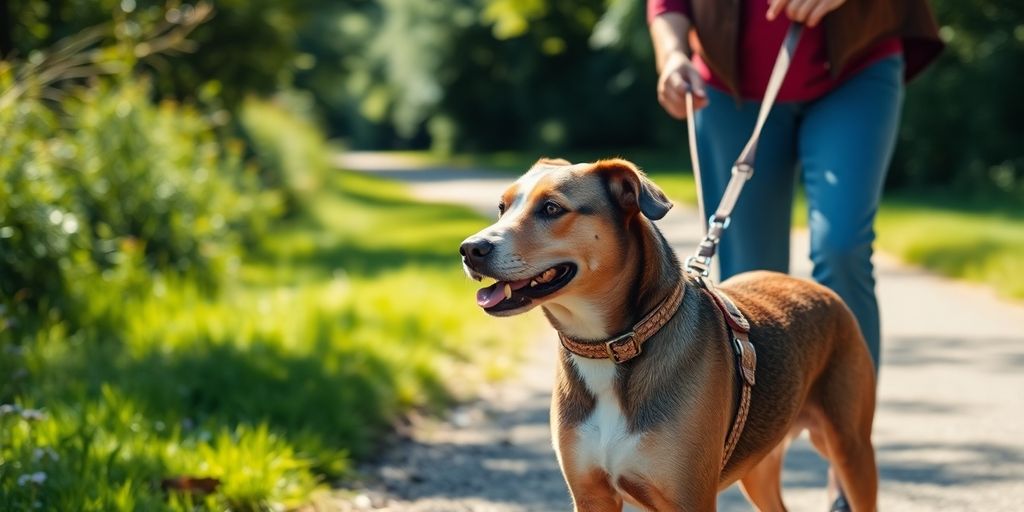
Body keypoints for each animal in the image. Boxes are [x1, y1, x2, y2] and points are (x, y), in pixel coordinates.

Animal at [460, 157, 876, 509]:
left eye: (551, 208)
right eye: (502, 208)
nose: (470, 249)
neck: (613, 346)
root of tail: (820, 291)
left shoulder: (690, 499)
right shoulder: (592, 496)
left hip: (851, 448)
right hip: (760, 468)